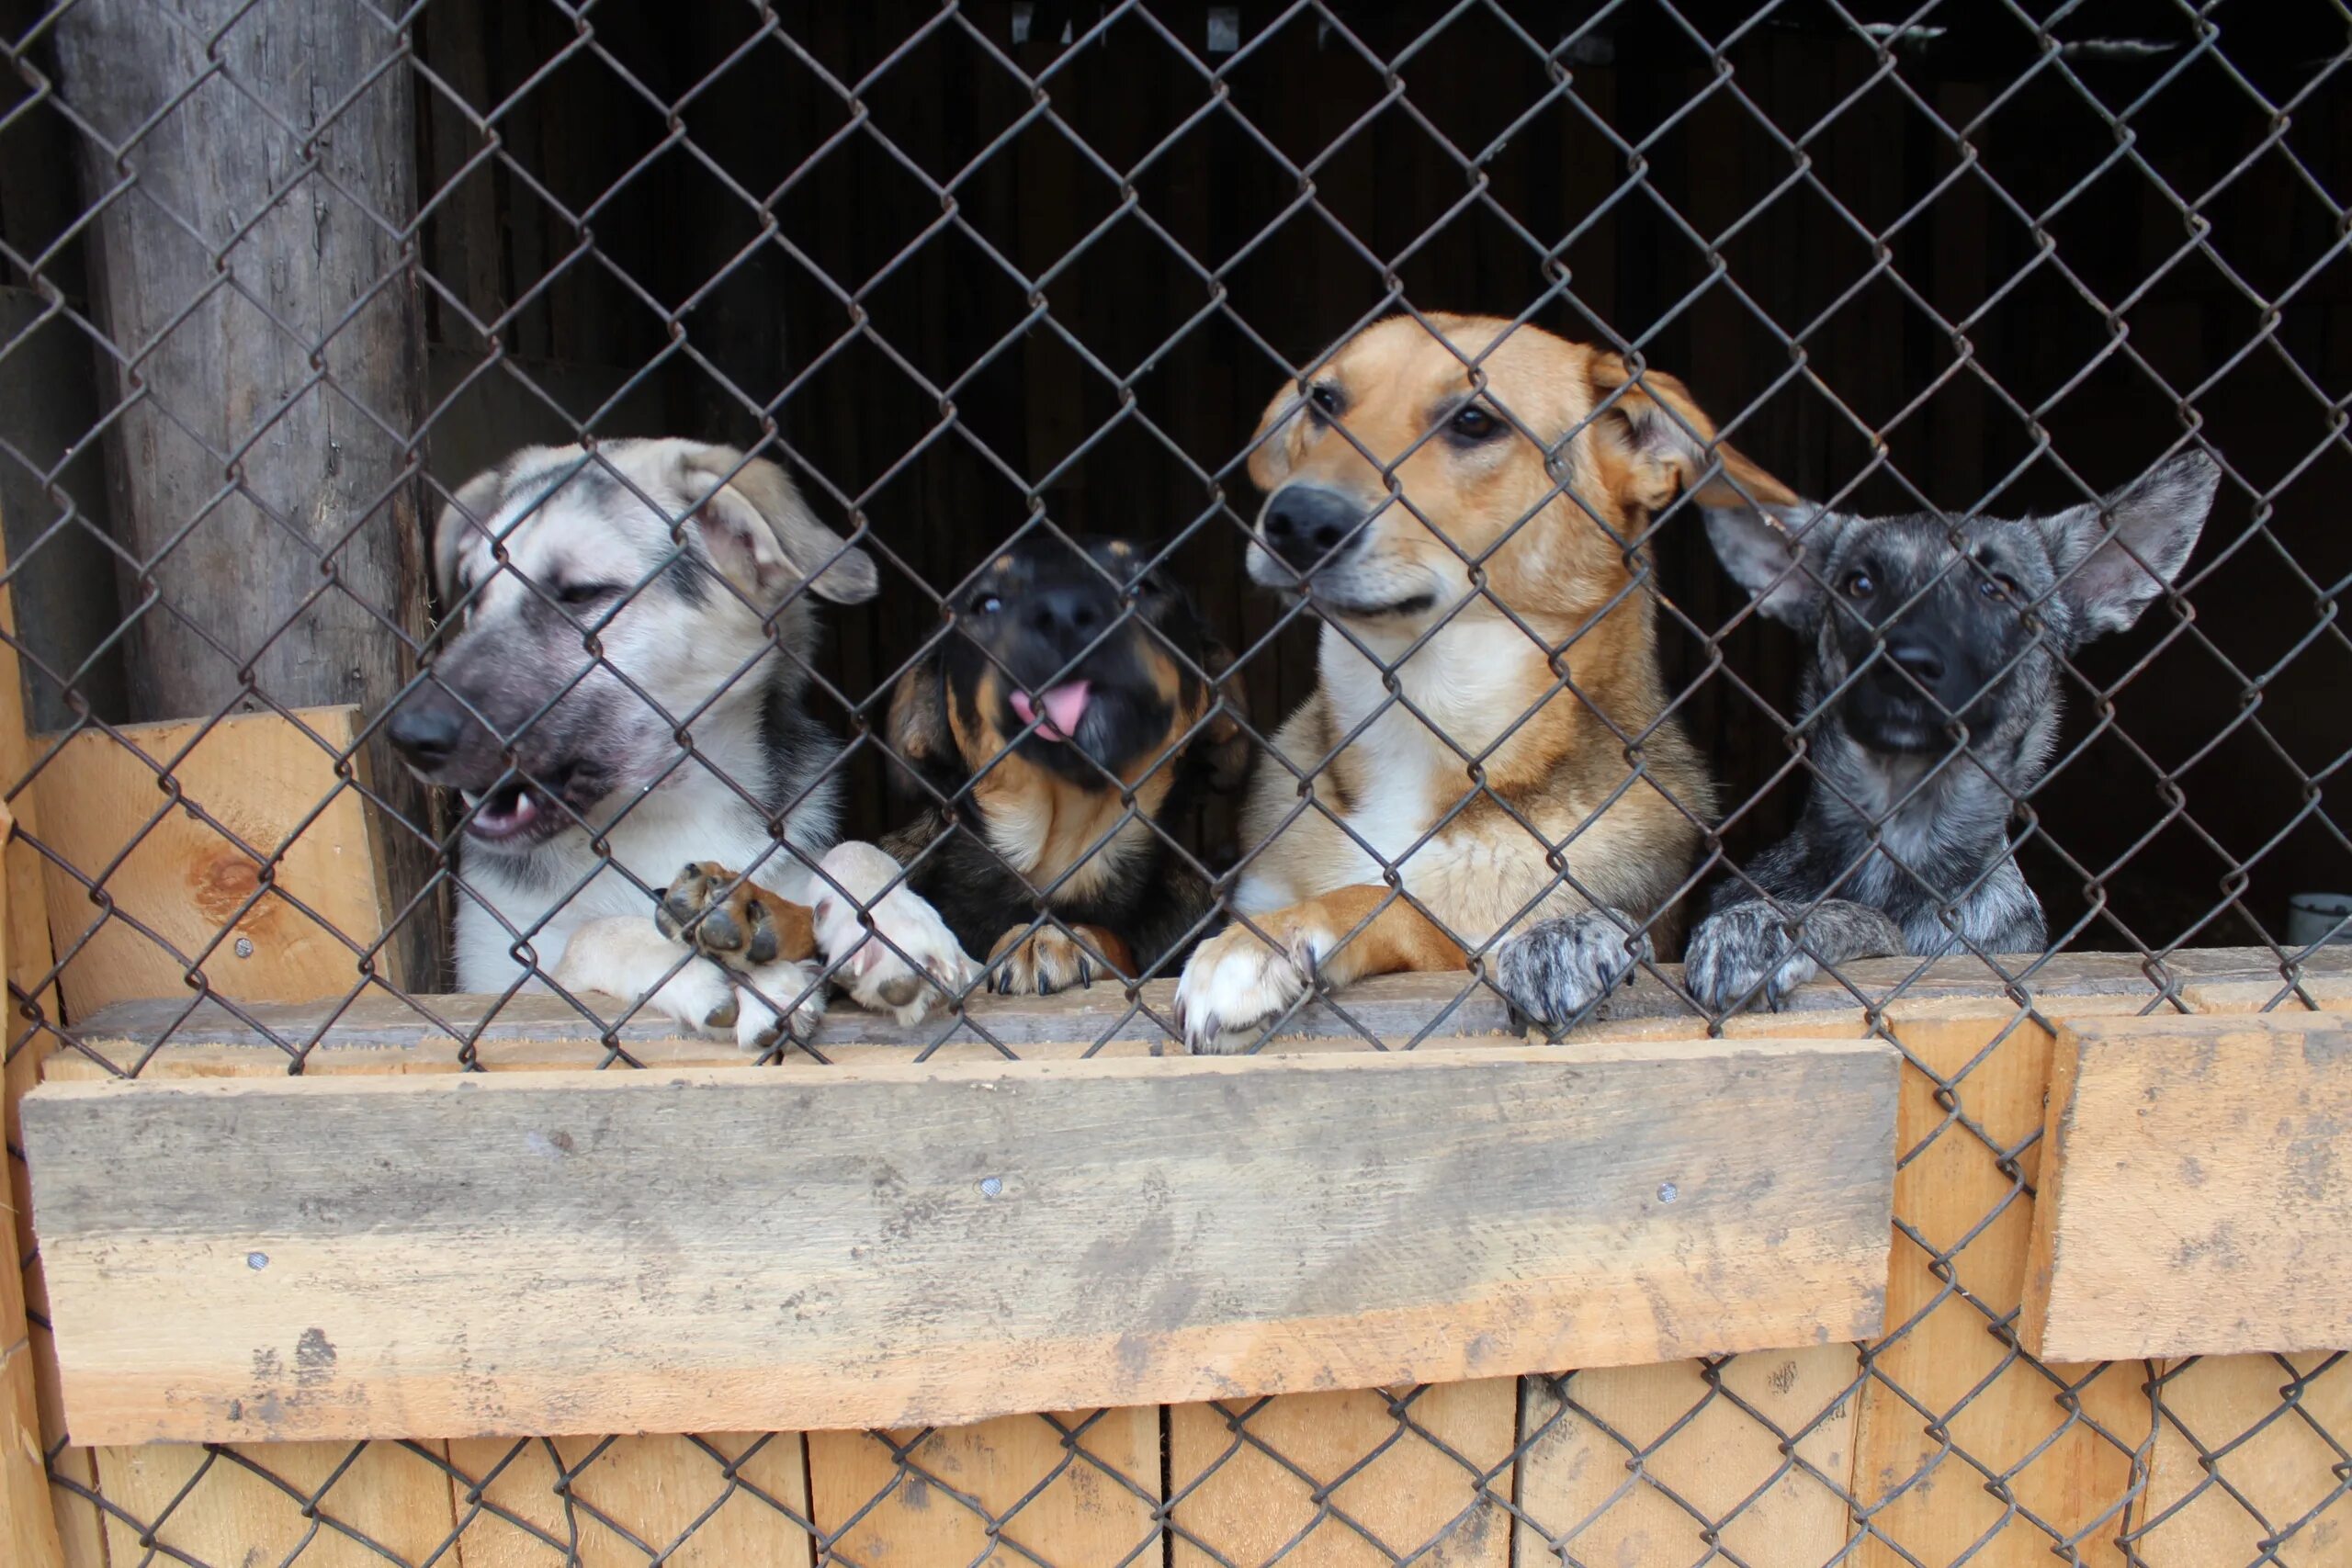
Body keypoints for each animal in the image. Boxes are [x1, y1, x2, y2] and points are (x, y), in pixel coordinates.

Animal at [390, 439, 978, 1043]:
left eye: (581, 594)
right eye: (474, 594)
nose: (408, 736)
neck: (665, 811)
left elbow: (856, 852)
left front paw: (895, 926)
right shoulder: (498, 975)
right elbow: (589, 934)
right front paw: (722, 971)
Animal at [1176, 314, 1796, 1053]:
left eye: (1474, 420)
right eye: (1324, 401)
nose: (1295, 520)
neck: (1417, 716)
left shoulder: (1495, 933)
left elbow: (1396, 903)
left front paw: (1260, 946)